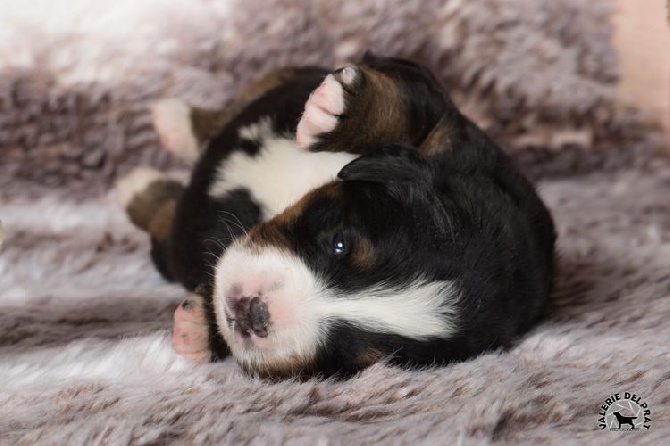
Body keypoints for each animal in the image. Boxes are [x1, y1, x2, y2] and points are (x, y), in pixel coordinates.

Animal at [117, 54, 556, 378]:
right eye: (341, 242)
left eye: (349, 355)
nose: (253, 313)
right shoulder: (456, 134)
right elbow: (409, 97)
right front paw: (341, 111)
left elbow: (169, 232)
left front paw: (201, 329)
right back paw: (173, 123)